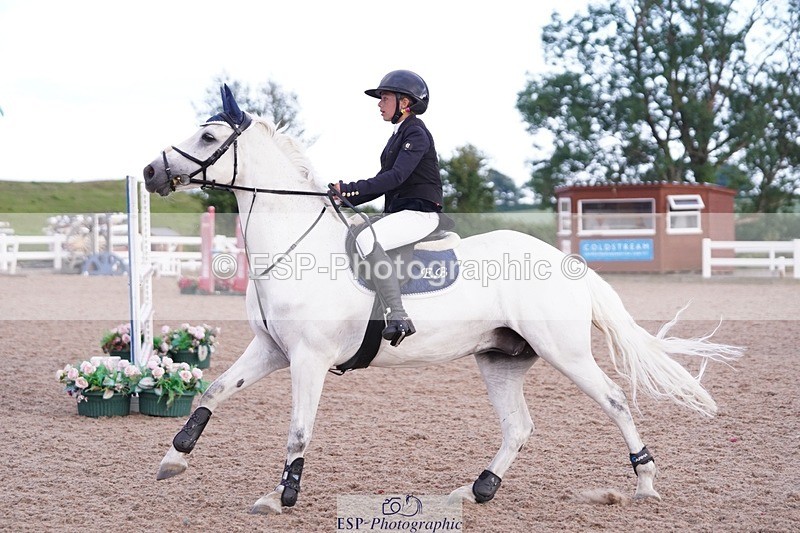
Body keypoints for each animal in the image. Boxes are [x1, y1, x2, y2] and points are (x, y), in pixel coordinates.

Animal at [143, 85, 743, 514]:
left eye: (206, 137)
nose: (150, 171)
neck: (296, 245)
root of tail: (565, 262)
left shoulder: (308, 360)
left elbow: (298, 428)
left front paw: (281, 495)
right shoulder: (271, 349)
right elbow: (213, 390)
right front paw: (174, 458)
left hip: (564, 352)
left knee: (615, 400)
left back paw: (644, 482)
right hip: (499, 358)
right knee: (519, 426)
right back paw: (477, 489)